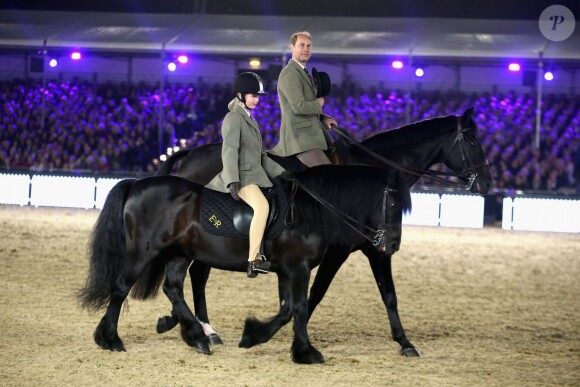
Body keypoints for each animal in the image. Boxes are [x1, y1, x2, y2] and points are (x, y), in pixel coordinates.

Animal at [77, 164, 412, 364]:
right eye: (395, 203)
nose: (392, 246)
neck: (309, 209)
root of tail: (137, 185)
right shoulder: (298, 268)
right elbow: (300, 308)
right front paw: (306, 351)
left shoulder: (287, 271)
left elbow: (288, 309)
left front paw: (253, 335)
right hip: (143, 253)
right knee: (120, 288)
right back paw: (112, 339)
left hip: (178, 255)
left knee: (173, 289)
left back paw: (197, 337)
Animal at [155, 107, 494, 358]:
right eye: (474, 142)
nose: (487, 183)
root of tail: (189, 155)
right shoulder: (343, 251)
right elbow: (317, 293)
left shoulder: (374, 248)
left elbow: (388, 294)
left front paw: (404, 342)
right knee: (197, 275)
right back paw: (200, 329)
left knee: (196, 275)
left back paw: (189, 325)